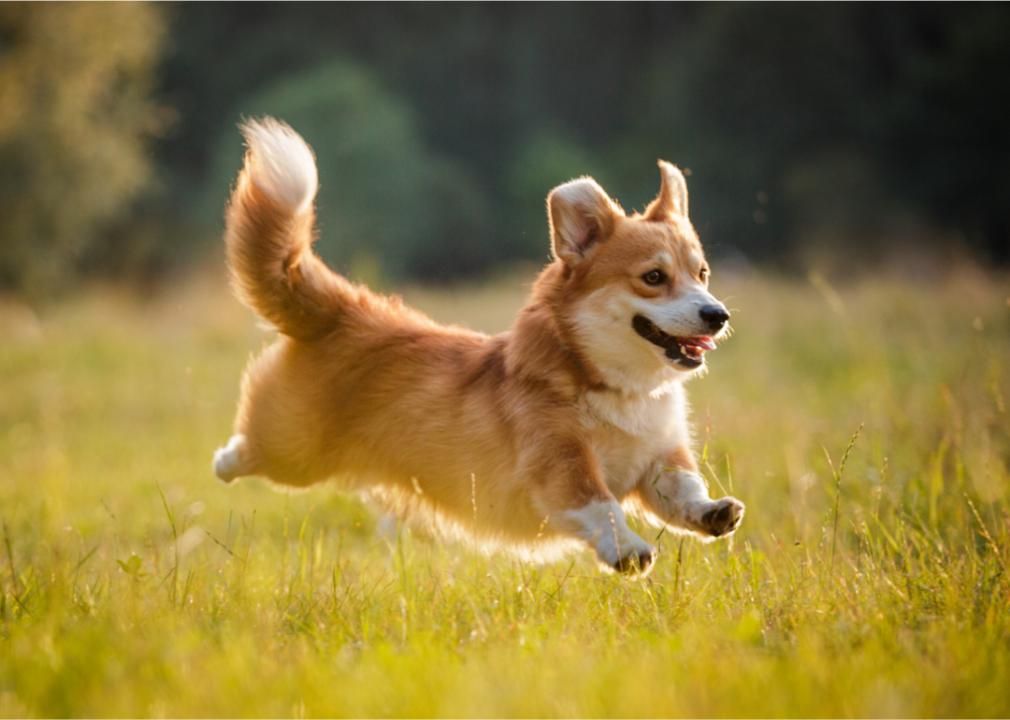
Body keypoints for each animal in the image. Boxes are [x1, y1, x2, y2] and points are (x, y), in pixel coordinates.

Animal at [213, 120, 743, 577]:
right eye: (653, 277)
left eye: (701, 273)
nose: (718, 315)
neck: (616, 386)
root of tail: (343, 309)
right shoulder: (560, 463)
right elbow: (602, 506)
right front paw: (629, 550)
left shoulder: (659, 458)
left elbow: (681, 489)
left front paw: (713, 512)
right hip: (294, 450)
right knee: (248, 449)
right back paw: (224, 461)